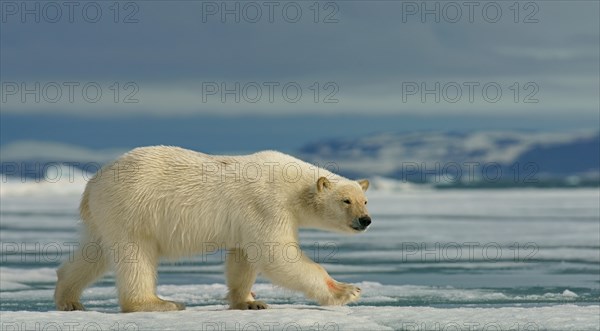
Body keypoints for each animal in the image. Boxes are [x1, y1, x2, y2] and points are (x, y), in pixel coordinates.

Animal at [55, 147, 370, 312]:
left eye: (365, 200)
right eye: (346, 200)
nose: (365, 220)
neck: (292, 185)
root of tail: (91, 184)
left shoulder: (249, 219)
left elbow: (243, 258)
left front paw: (249, 301)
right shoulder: (268, 204)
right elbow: (277, 255)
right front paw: (347, 290)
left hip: (106, 217)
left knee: (93, 253)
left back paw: (68, 299)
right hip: (132, 209)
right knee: (136, 256)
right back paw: (159, 303)